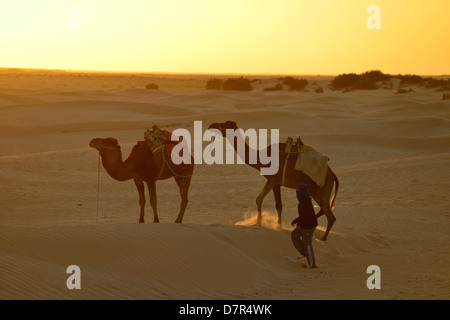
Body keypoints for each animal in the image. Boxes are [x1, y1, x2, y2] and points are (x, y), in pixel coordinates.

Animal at [207, 120, 338, 240]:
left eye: (225, 124)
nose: (211, 125)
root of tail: (333, 175)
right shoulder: (277, 183)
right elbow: (276, 204)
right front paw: (276, 226)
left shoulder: (273, 179)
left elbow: (261, 200)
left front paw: (260, 224)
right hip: (315, 191)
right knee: (324, 210)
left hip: (321, 189)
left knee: (330, 216)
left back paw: (322, 238)